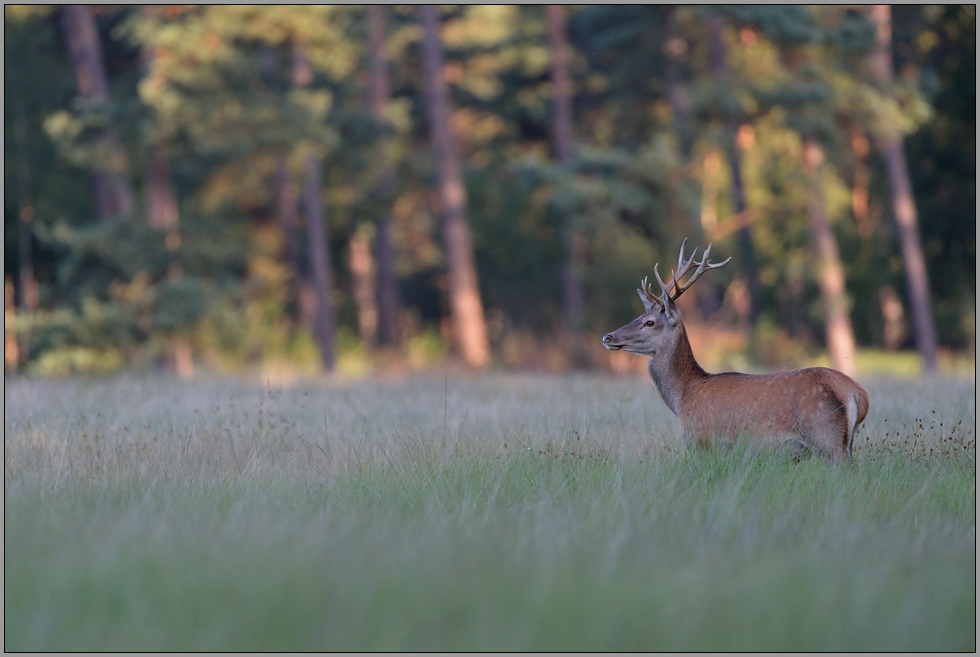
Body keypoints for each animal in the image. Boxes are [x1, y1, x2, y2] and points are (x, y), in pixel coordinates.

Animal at [600, 238, 868, 458]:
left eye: (649, 322)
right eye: (639, 315)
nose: (607, 337)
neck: (682, 397)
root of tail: (858, 393)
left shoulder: (702, 441)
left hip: (827, 437)